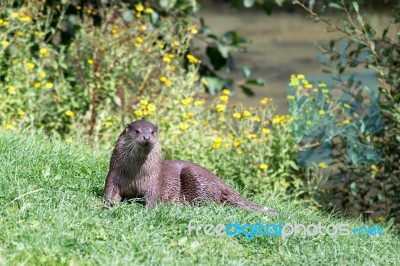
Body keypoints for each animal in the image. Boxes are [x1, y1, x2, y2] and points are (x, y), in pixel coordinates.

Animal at [102, 119, 276, 213]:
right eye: (137, 131)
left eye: (152, 132)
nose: (146, 137)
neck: (135, 174)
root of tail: (222, 183)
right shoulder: (114, 174)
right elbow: (109, 192)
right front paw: (109, 206)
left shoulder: (154, 180)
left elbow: (152, 197)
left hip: (194, 176)